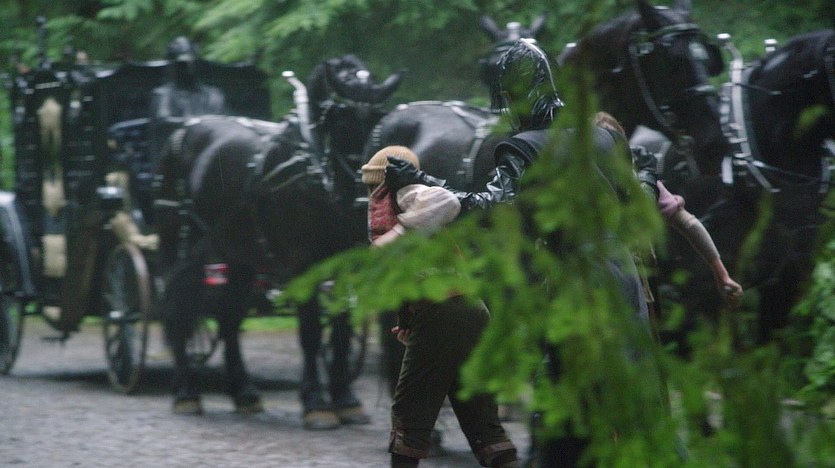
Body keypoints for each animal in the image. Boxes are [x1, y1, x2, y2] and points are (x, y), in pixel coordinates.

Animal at [153, 55, 402, 425]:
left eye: (376, 120)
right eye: (339, 121)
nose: (365, 198)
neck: (316, 171)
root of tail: (181, 134)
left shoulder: (345, 265)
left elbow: (341, 329)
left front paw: (346, 399)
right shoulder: (303, 265)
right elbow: (311, 332)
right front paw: (316, 403)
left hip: (238, 255)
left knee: (229, 317)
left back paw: (244, 392)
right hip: (181, 249)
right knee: (178, 309)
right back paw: (186, 393)